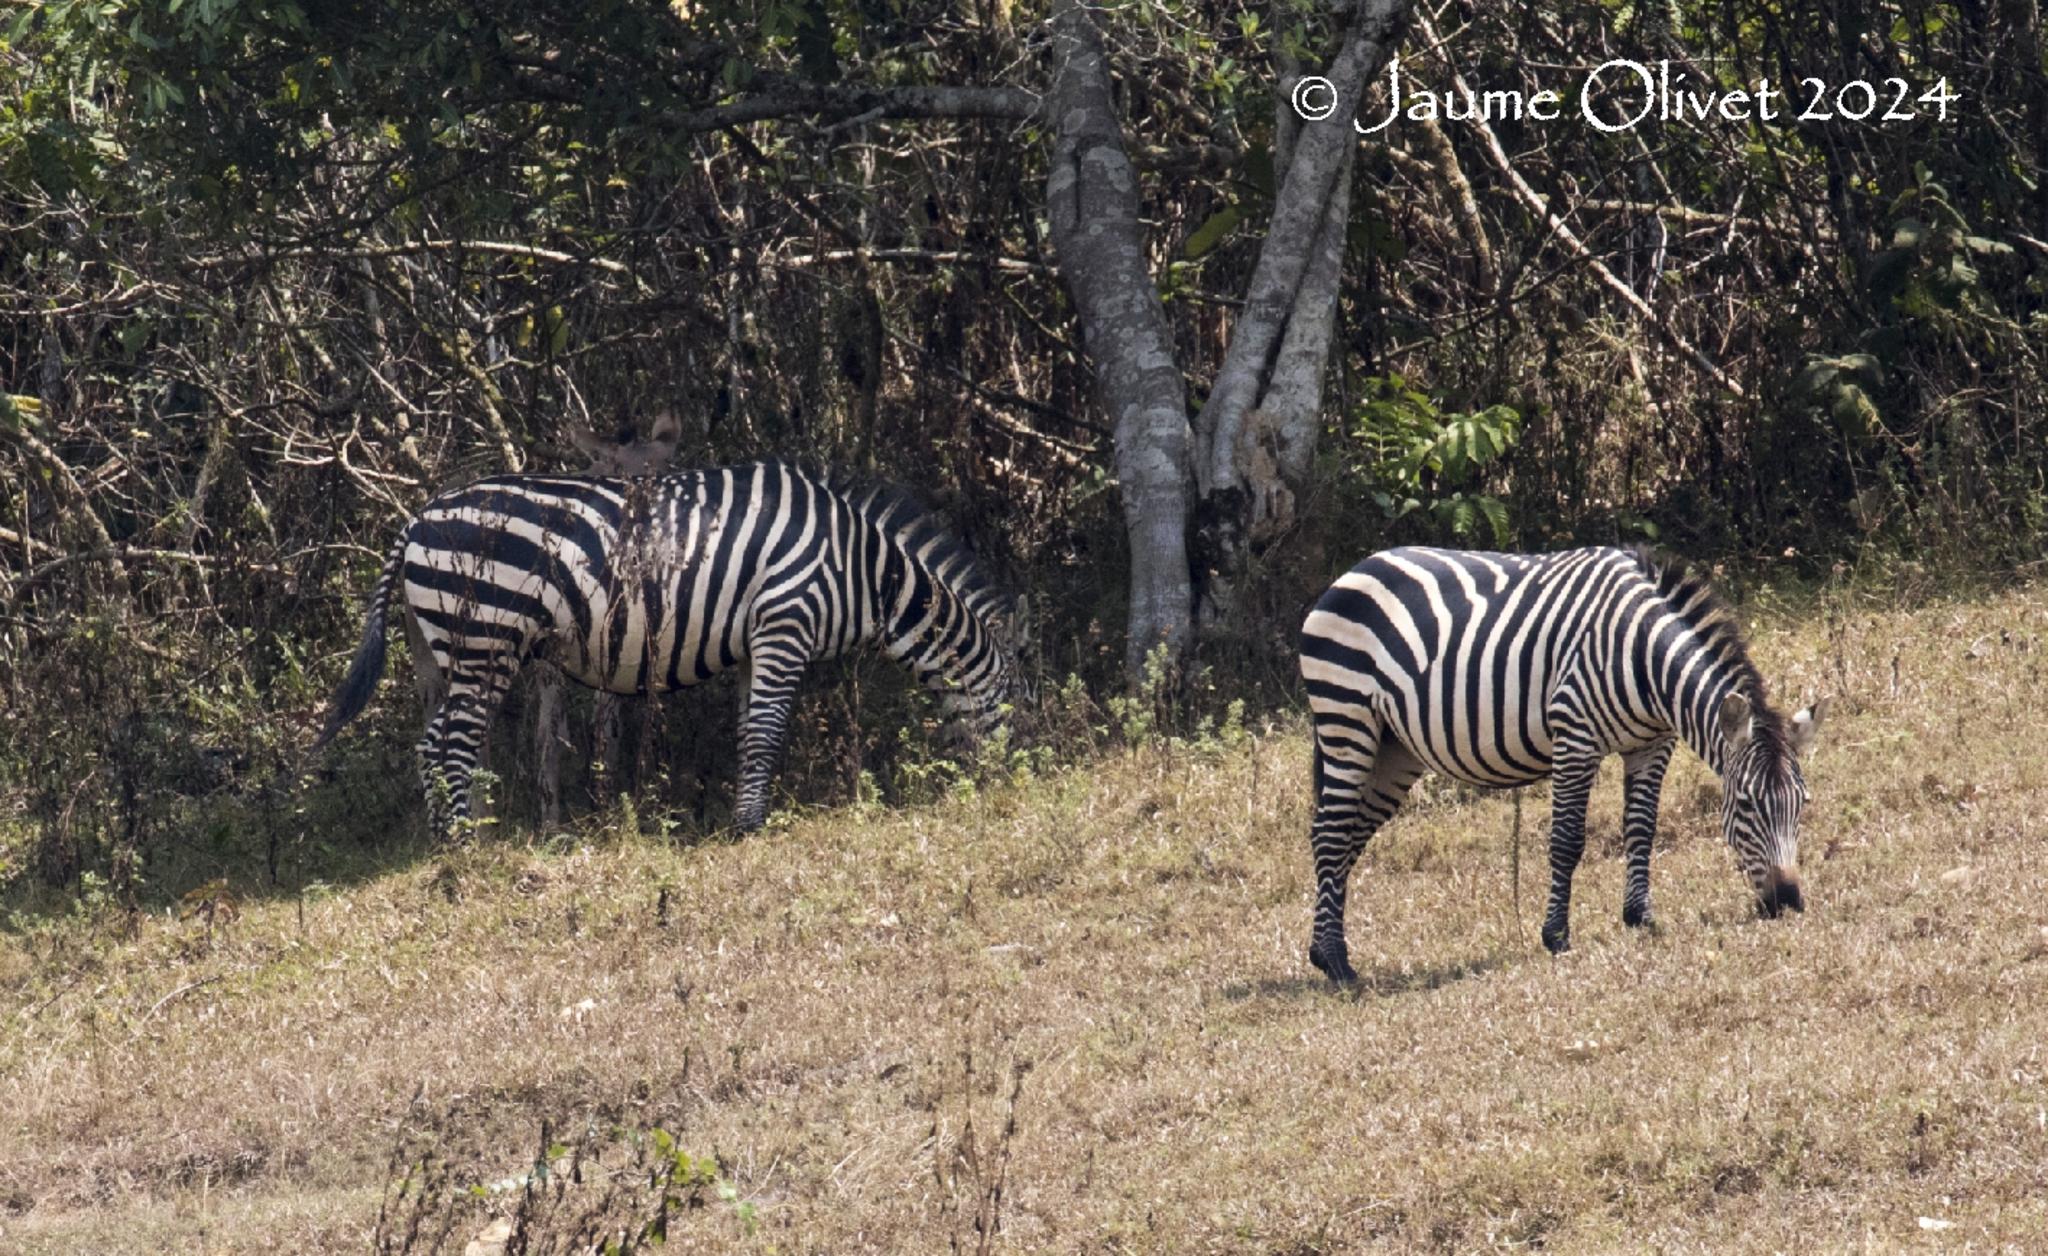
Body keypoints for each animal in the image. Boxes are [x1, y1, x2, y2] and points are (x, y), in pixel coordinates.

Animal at [315, 454, 1024, 835]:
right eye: (1011, 704)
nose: (1013, 788)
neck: (864, 571)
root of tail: (415, 520)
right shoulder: (785, 624)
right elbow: (765, 733)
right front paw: (750, 830)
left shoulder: (757, 644)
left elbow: (747, 731)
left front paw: (745, 817)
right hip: (485, 636)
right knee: (451, 745)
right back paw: (466, 851)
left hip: (437, 650)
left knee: (432, 743)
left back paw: (460, 843)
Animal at [1294, 536, 1826, 979]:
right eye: (1747, 805)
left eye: (1802, 805)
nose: (1788, 902)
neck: (1642, 654)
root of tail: (1354, 571)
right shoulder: (1576, 738)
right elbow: (1567, 841)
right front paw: (1556, 937)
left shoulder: (1652, 744)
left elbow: (1642, 830)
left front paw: (1640, 917)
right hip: (1347, 722)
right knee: (1330, 836)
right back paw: (1337, 962)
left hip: (1394, 749)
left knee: (1347, 838)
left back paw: (1324, 951)